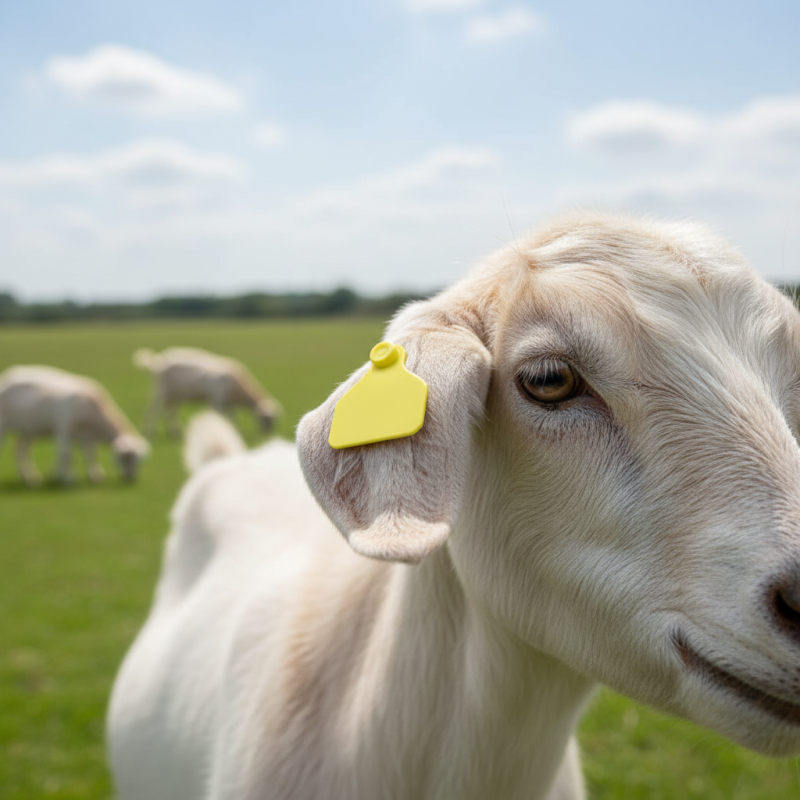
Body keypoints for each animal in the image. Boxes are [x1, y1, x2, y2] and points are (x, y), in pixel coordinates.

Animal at [0, 365, 149, 485]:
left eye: (139, 460)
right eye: (126, 458)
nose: (131, 478)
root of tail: (5, 376)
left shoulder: (86, 435)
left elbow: (90, 454)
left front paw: (95, 476)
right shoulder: (64, 427)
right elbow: (66, 454)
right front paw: (69, 480)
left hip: (26, 429)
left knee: (20, 451)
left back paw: (29, 478)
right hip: (4, 425)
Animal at [133, 347, 281, 438]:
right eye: (266, 419)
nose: (270, 435)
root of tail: (158, 361)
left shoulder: (228, 403)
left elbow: (233, 418)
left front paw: (234, 430)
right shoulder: (217, 399)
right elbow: (221, 416)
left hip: (175, 395)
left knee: (170, 411)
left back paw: (175, 431)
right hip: (161, 391)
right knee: (154, 410)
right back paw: (149, 431)